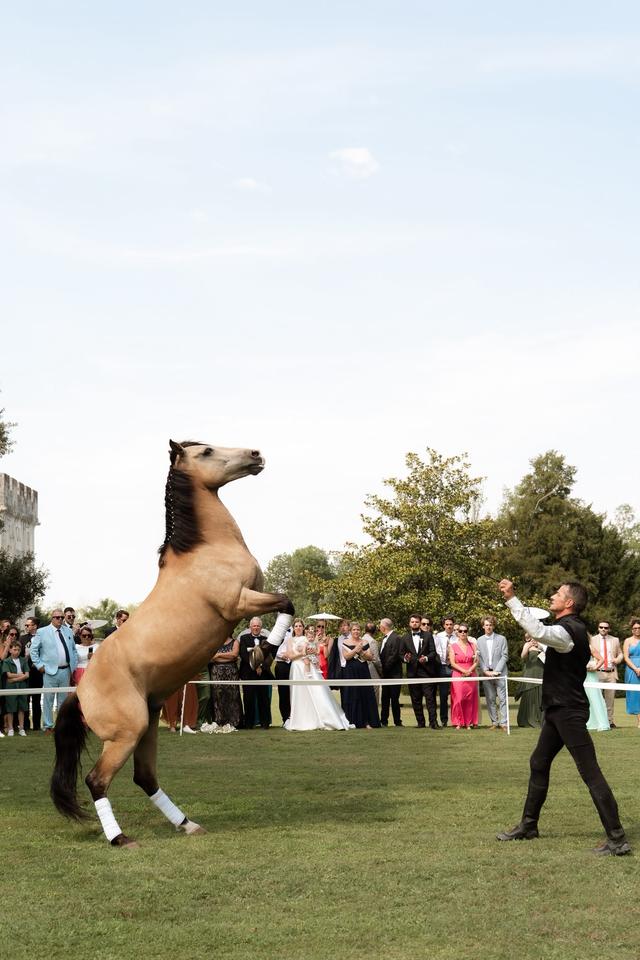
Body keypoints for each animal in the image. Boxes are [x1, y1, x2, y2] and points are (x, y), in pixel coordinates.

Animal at [51, 440, 294, 847]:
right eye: (207, 451)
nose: (255, 455)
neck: (206, 550)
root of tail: (79, 693)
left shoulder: (252, 596)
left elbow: (286, 603)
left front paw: (264, 652)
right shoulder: (238, 602)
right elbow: (286, 602)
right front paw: (265, 653)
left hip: (148, 725)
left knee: (145, 777)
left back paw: (188, 824)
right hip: (126, 733)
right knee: (97, 780)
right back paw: (120, 839)